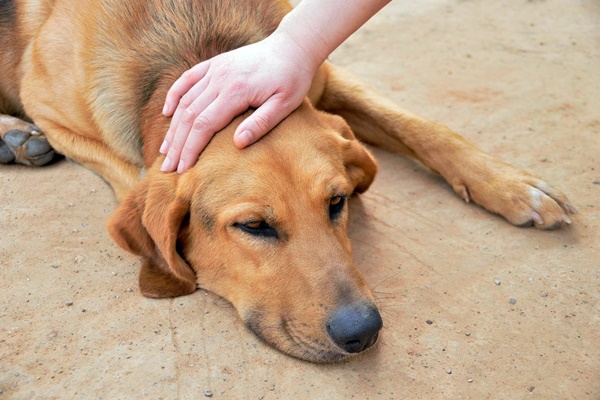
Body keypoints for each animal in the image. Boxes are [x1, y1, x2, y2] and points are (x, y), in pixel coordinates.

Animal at [0, 0, 576, 362]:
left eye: (338, 201)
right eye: (254, 226)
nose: (363, 332)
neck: (198, 48)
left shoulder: (307, 72)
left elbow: (419, 125)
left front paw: (511, 184)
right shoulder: (53, 112)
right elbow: (135, 175)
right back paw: (15, 136)